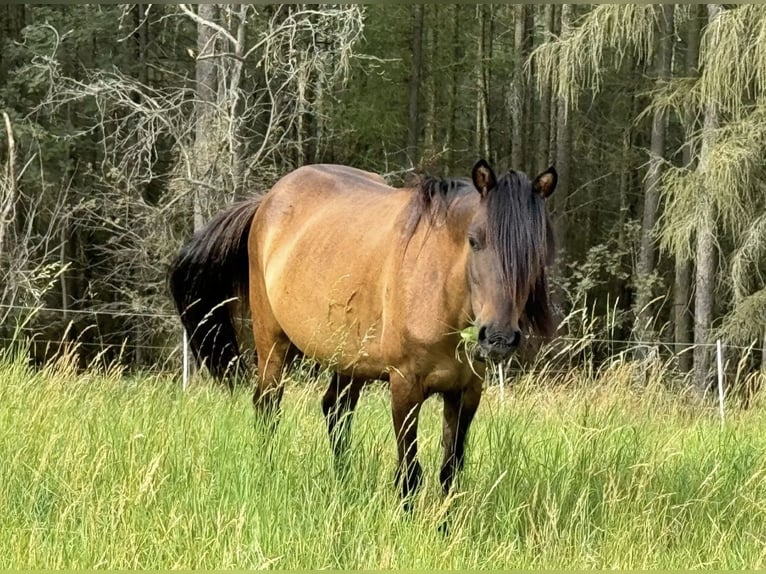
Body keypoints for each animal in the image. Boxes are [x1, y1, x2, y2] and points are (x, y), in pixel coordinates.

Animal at [170, 160, 560, 506]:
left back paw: (342, 486)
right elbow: (409, 474)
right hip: (272, 344)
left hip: (349, 361)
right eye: (475, 241)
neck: (437, 290)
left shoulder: (466, 392)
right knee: (268, 407)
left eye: (537, 250)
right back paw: (268, 470)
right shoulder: (405, 386)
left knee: (336, 412)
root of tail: (267, 199)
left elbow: (450, 473)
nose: (498, 338)